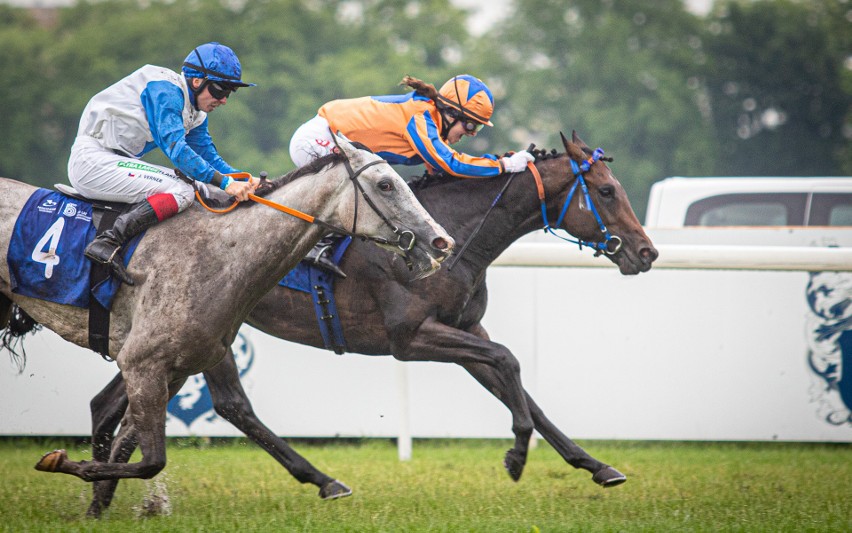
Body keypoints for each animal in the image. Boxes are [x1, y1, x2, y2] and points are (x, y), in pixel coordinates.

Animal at [0, 135, 452, 500]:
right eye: (386, 184)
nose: (440, 241)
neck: (219, 253)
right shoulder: (142, 363)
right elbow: (151, 460)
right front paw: (62, 463)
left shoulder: (174, 368)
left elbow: (131, 449)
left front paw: (97, 508)